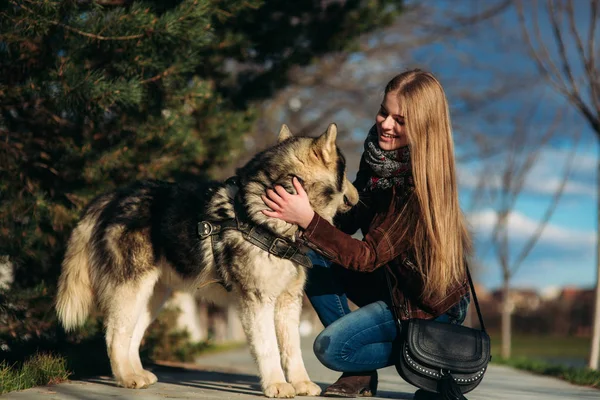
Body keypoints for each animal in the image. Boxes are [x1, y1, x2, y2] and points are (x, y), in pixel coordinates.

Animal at [55, 124, 356, 396]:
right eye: (345, 173)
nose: (358, 195)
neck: (268, 218)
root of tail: (114, 195)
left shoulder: (288, 301)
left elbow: (292, 350)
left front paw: (301, 384)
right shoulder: (257, 300)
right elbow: (268, 347)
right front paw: (277, 385)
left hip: (153, 296)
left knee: (132, 335)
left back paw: (137, 373)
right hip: (132, 290)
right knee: (114, 335)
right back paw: (127, 378)